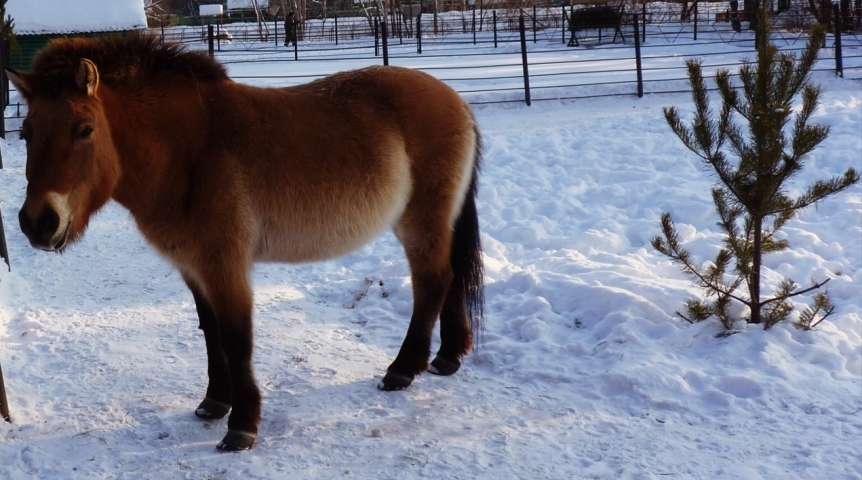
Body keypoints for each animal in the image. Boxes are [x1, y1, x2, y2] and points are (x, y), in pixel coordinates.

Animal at [8, 33, 486, 450]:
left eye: (84, 129)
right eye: (26, 133)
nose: (38, 223)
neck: (188, 152)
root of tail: (455, 100)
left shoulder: (225, 265)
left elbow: (236, 338)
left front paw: (242, 426)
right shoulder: (194, 267)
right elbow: (211, 332)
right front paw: (214, 402)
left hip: (419, 222)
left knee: (432, 282)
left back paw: (403, 370)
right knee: (451, 276)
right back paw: (447, 358)